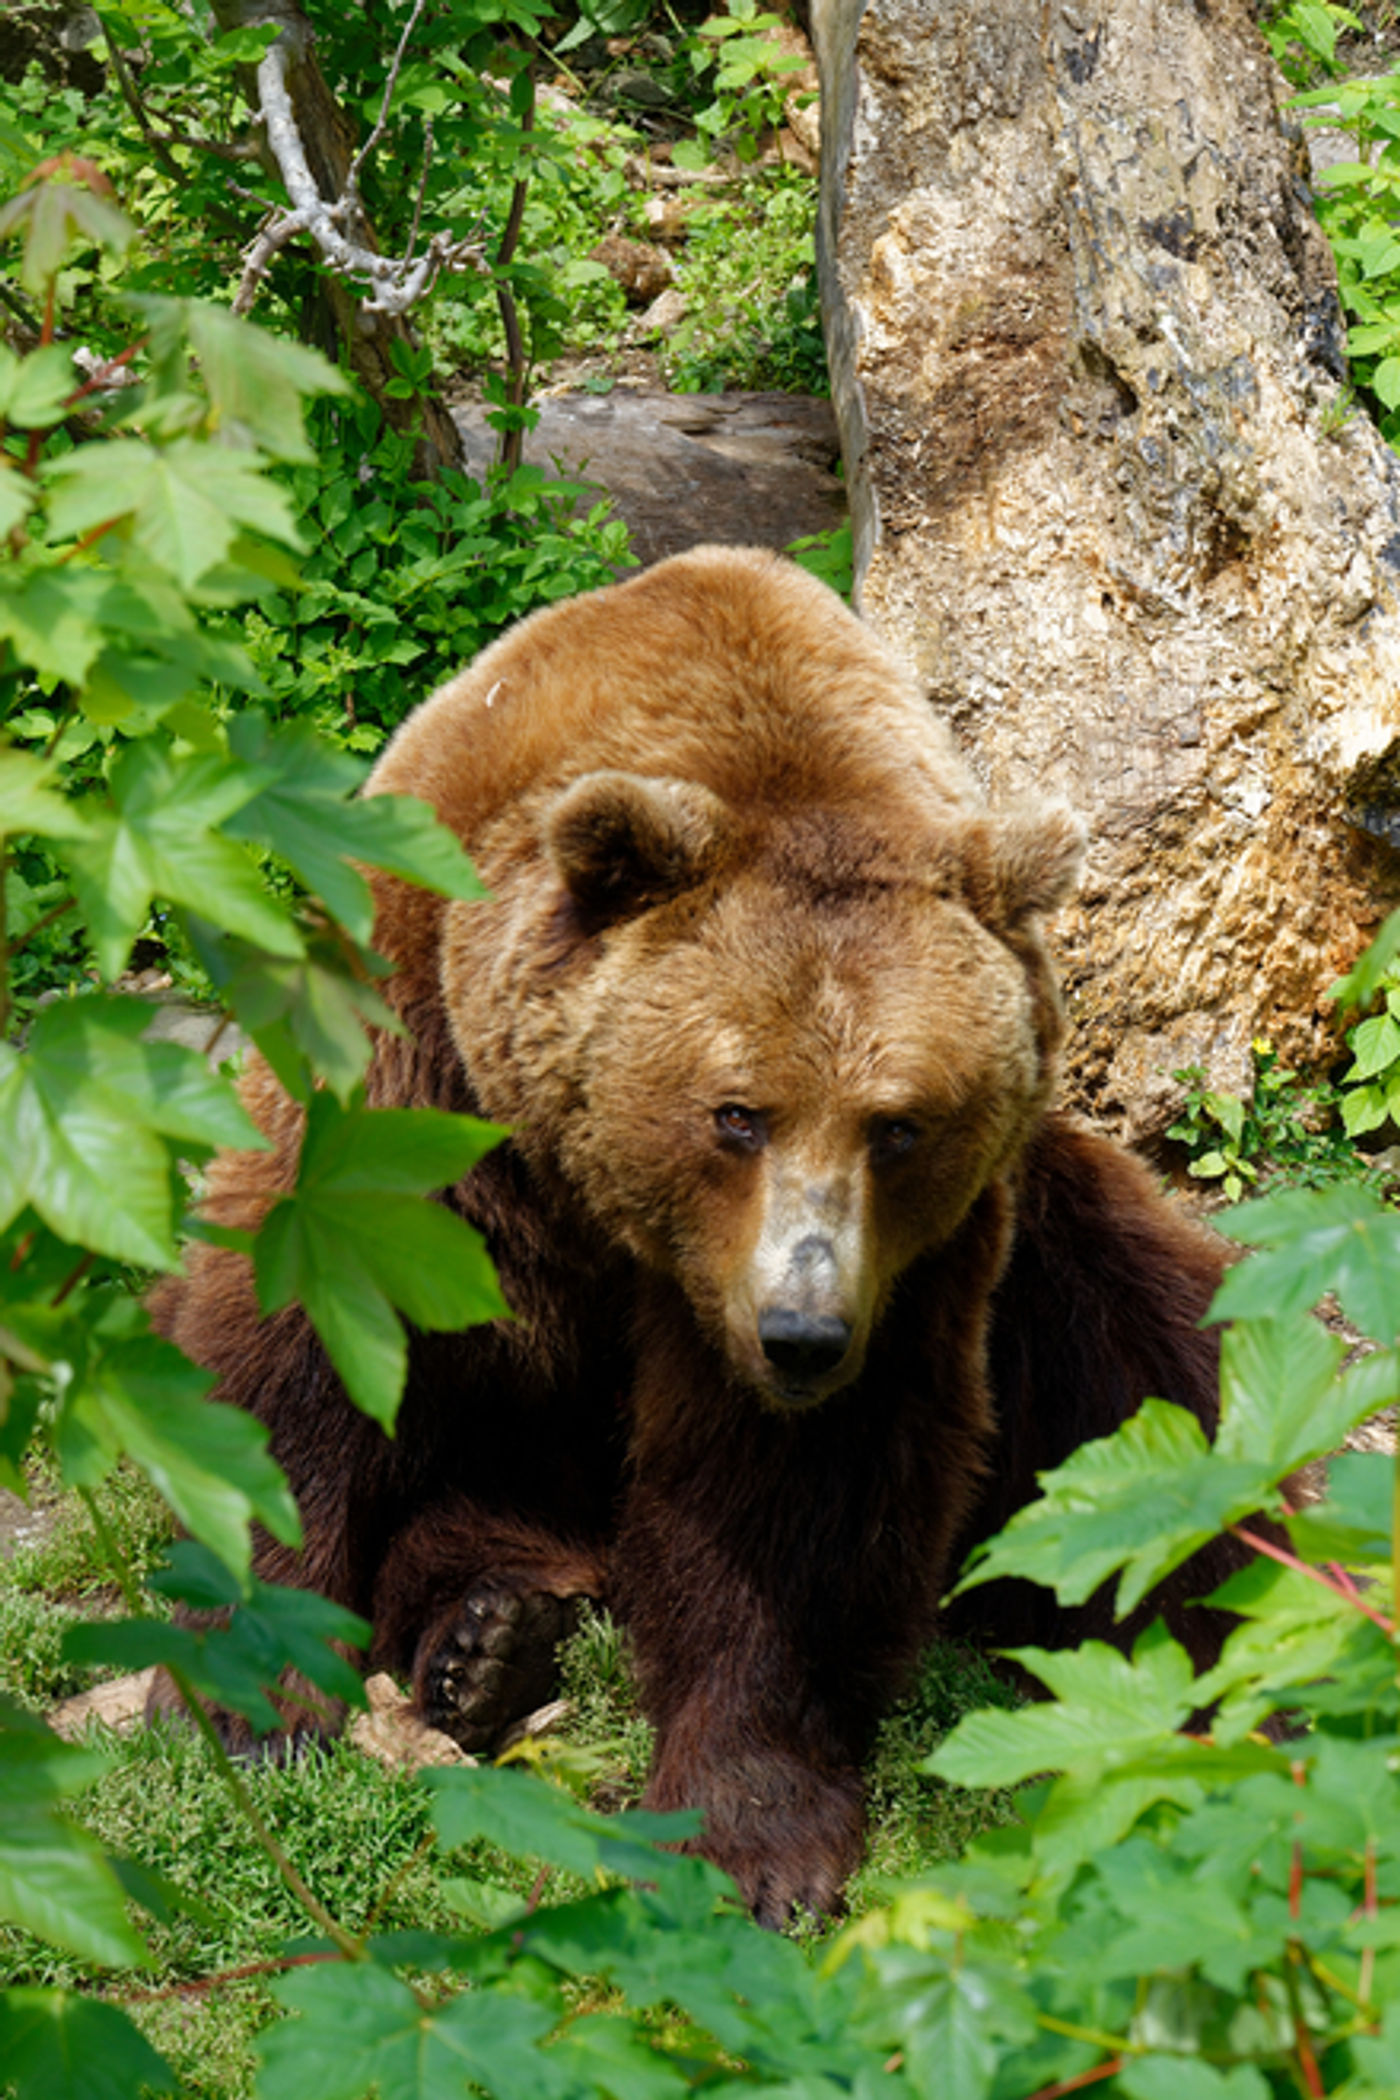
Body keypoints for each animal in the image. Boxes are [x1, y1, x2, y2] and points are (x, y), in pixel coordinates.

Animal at [153, 550, 1234, 1923]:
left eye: (898, 1125)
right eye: (736, 1113)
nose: (801, 1332)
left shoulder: (912, 1271)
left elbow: (787, 1505)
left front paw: (750, 1838)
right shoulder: (411, 1068)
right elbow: (298, 1351)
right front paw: (260, 1698)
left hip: (1056, 1238)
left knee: (1163, 1393)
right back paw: (483, 1644)